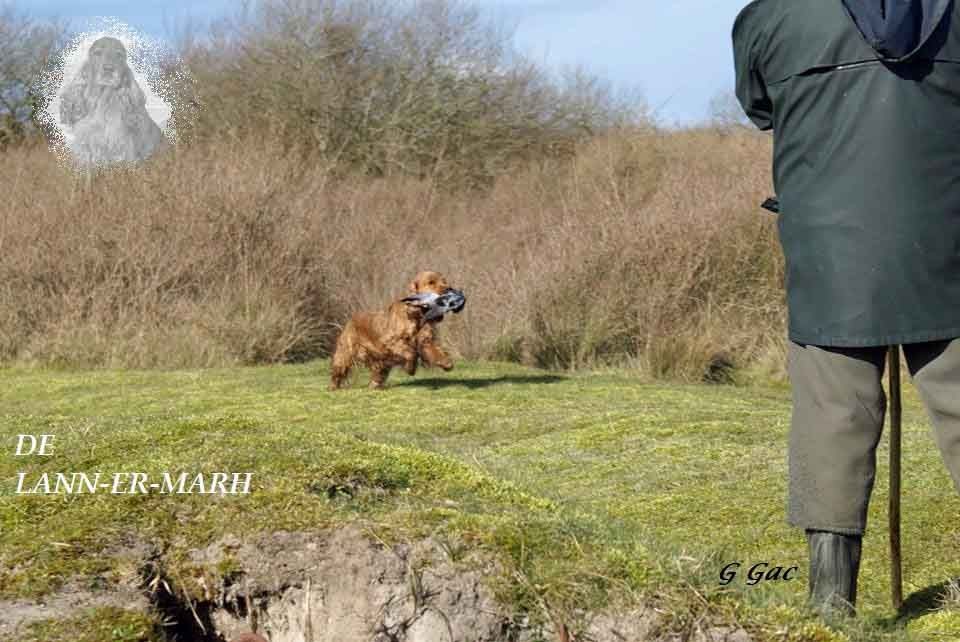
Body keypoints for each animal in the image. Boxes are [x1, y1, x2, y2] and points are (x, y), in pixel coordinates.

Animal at [332, 268, 460, 388]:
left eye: (444, 281)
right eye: (431, 282)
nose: (448, 289)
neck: (416, 316)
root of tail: (350, 320)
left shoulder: (426, 341)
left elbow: (436, 352)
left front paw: (447, 363)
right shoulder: (391, 341)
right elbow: (411, 353)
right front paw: (410, 368)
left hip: (381, 365)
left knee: (376, 378)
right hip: (344, 355)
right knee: (337, 374)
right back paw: (334, 388)